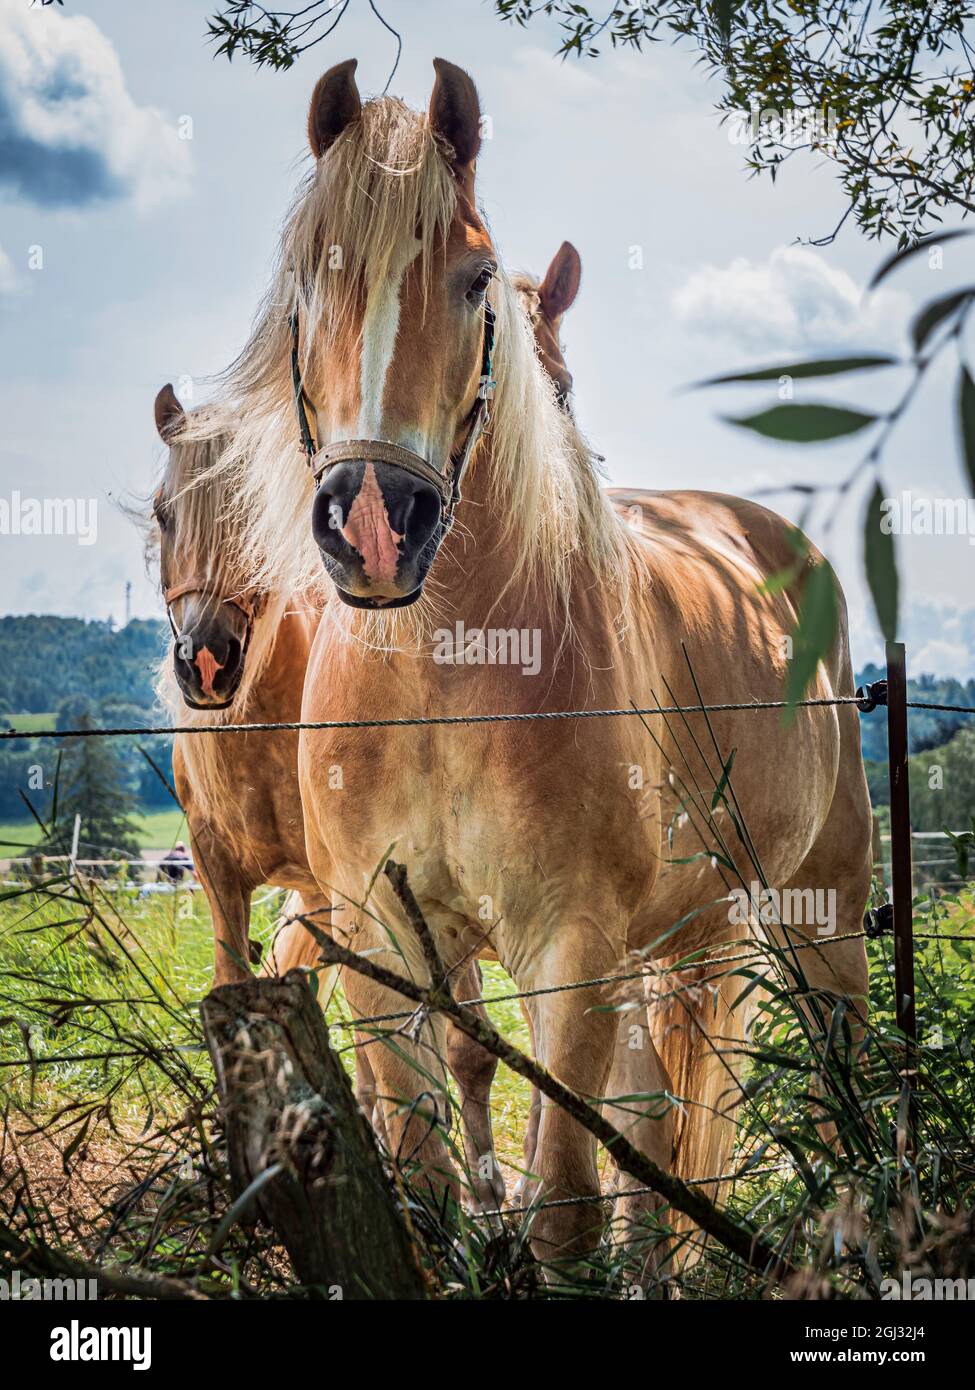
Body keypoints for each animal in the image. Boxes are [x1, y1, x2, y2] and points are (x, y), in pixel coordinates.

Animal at [209, 59, 870, 1272]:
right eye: (305, 282)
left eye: (474, 282)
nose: (375, 526)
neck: (440, 680)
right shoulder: (380, 949)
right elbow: (428, 1179)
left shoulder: (574, 948)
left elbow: (564, 1203)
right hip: (697, 931)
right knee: (665, 1120)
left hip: (821, 912)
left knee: (844, 1068)